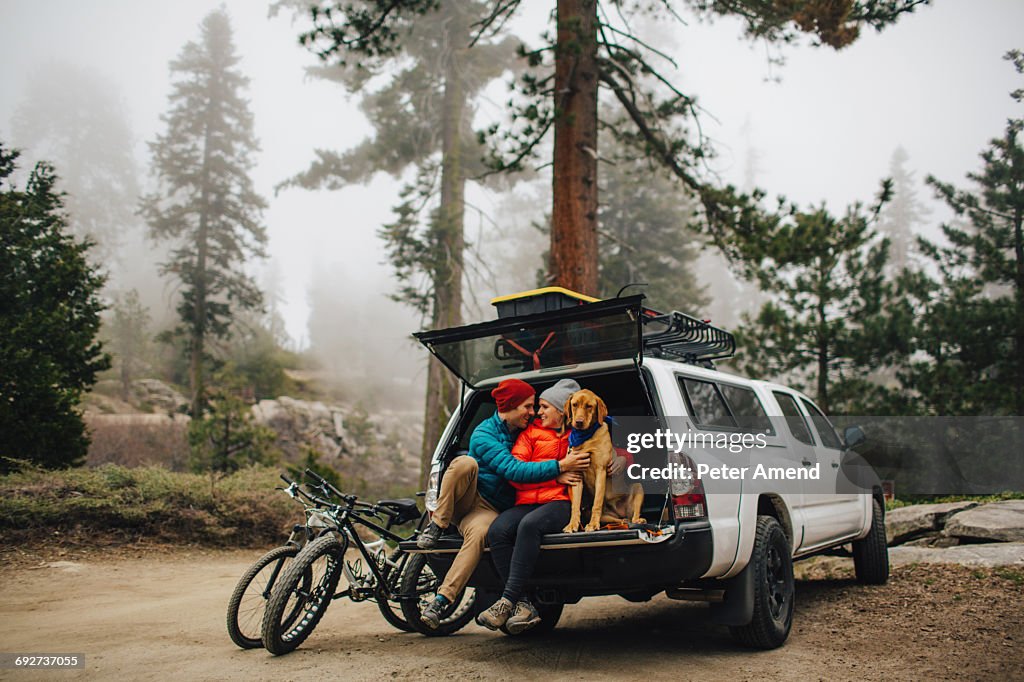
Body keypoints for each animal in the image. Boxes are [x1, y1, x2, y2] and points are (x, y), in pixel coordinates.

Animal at [565, 387, 643, 532]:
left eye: (589, 406)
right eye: (574, 405)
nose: (578, 422)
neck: (585, 437)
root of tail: (619, 512)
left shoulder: (601, 470)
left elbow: (597, 501)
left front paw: (593, 524)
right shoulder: (577, 474)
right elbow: (575, 505)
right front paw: (572, 525)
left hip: (637, 487)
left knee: (634, 515)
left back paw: (638, 520)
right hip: (605, 516)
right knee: (620, 520)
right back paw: (621, 522)